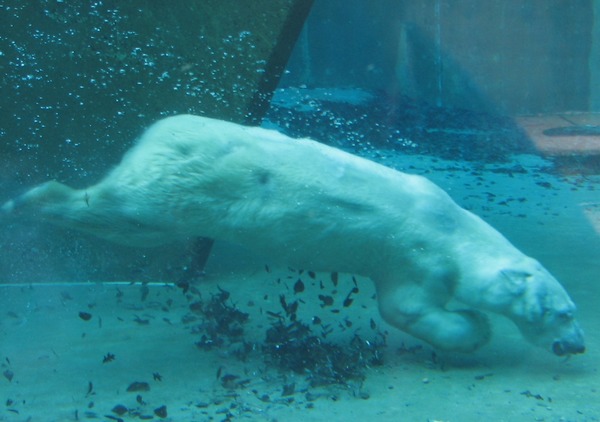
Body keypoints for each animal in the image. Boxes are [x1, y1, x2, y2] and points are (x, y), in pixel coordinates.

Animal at [2, 113, 584, 354]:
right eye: (561, 314)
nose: (575, 346)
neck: (452, 225)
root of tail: (154, 136)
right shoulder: (418, 259)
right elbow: (405, 308)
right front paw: (474, 329)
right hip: (172, 191)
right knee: (114, 212)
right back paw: (26, 200)